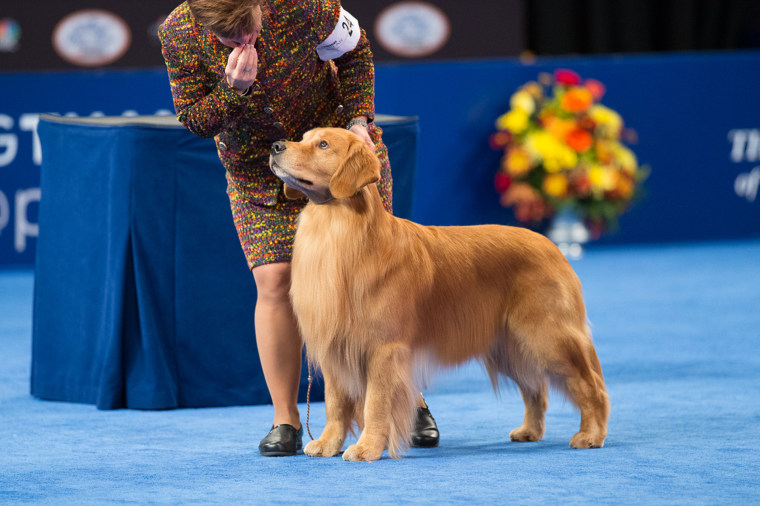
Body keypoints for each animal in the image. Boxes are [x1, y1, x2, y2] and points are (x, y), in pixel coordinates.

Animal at [270, 128, 608, 460]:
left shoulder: (383, 348)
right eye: (303, 137)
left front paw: (367, 448)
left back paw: (591, 435)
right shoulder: (334, 344)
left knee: (590, 385)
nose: (275, 146)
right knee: (536, 388)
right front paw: (328, 442)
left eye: (323, 144)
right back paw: (530, 431)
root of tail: (553, 247)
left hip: (545, 335)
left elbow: (375, 403)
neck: (340, 232)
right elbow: (335, 402)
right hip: (509, 344)